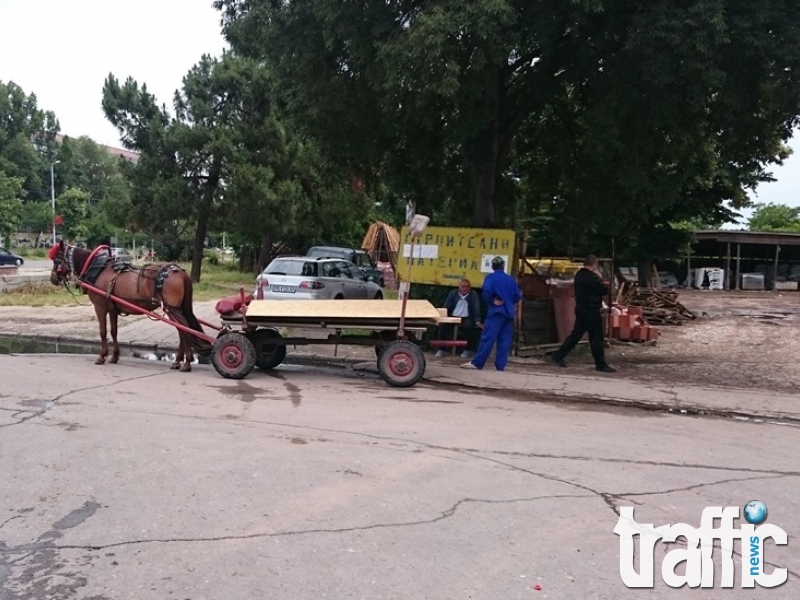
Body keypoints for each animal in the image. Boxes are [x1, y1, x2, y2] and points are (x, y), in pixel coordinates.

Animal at [48, 240, 212, 370]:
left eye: (57, 260)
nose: (52, 279)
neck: (98, 269)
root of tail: (180, 272)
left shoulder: (100, 307)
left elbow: (103, 332)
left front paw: (101, 356)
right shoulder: (112, 309)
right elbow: (114, 331)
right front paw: (114, 356)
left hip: (172, 309)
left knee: (184, 330)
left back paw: (186, 363)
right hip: (174, 309)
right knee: (182, 331)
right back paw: (178, 361)